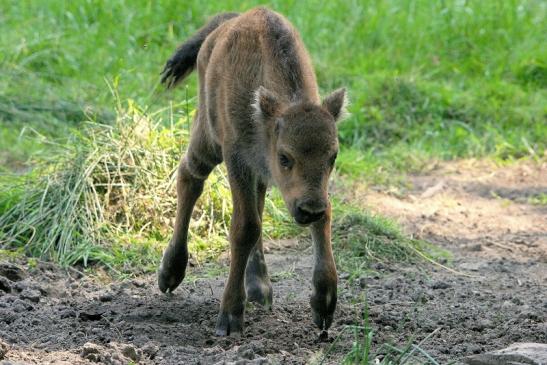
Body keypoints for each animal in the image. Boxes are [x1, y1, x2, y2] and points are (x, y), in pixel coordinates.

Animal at [159, 6, 346, 336]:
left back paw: (260, 288)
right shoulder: (238, 161)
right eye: (285, 157)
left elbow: (322, 219)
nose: (309, 209)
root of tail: (222, 27)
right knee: (190, 176)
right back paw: (171, 272)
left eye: (332, 157)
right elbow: (245, 228)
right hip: (208, 139)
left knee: (255, 204)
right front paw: (230, 317)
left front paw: (323, 304)